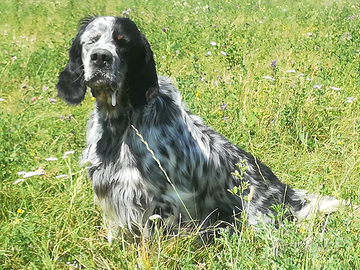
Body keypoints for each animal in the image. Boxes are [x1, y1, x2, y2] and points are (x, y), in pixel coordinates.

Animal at [57, 15, 340, 242]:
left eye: (122, 42)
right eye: (90, 41)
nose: (100, 57)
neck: (121, 124)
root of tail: (286, 193)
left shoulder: (162, 200)